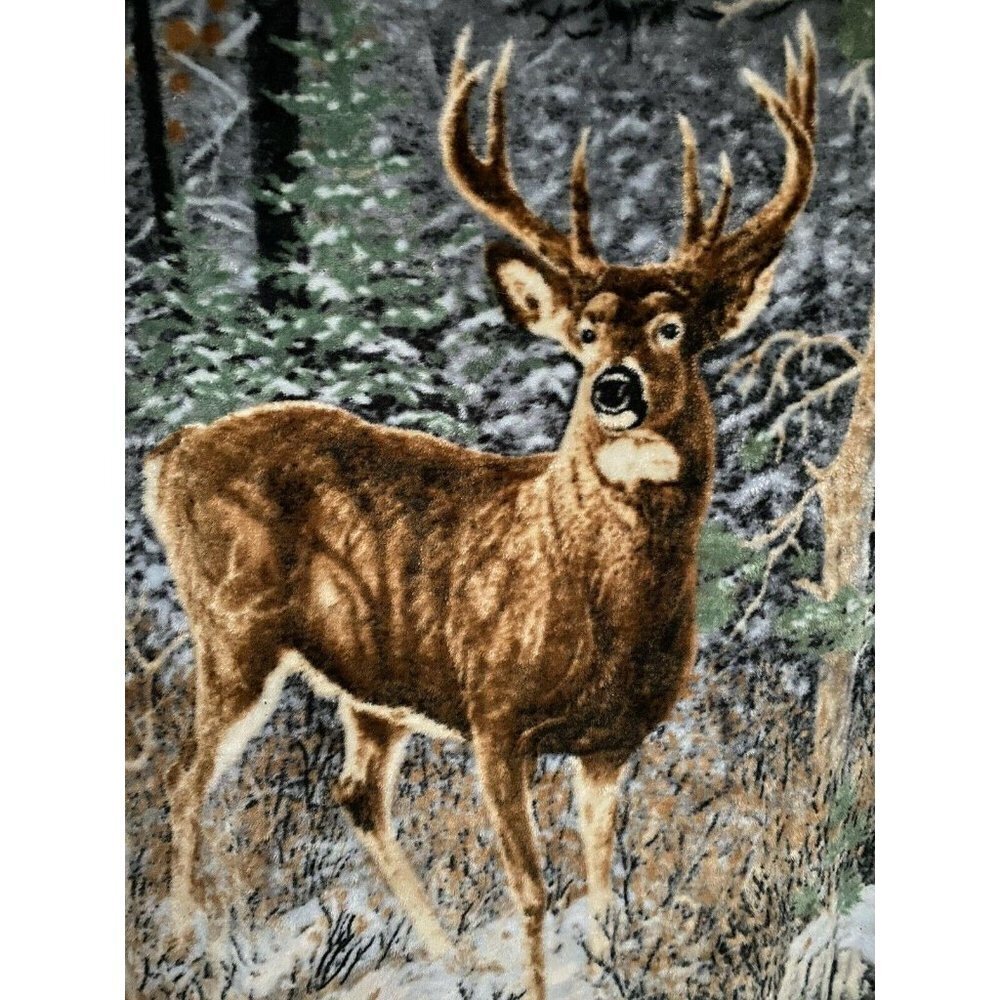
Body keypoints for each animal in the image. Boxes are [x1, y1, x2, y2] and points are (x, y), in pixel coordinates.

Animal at [144, 15, 817, 999]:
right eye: (584, 333)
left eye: (673, 329)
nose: (614, 389)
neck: (606, 603)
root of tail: (170, 454)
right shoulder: (495, 712)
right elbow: (532, 890)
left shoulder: (615, 739)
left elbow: (605, 887)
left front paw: (606, 966)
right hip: (232, 624)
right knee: (187, 778)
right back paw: (189, 942)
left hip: (372, 683)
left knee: (353, 792)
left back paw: (445, 953)